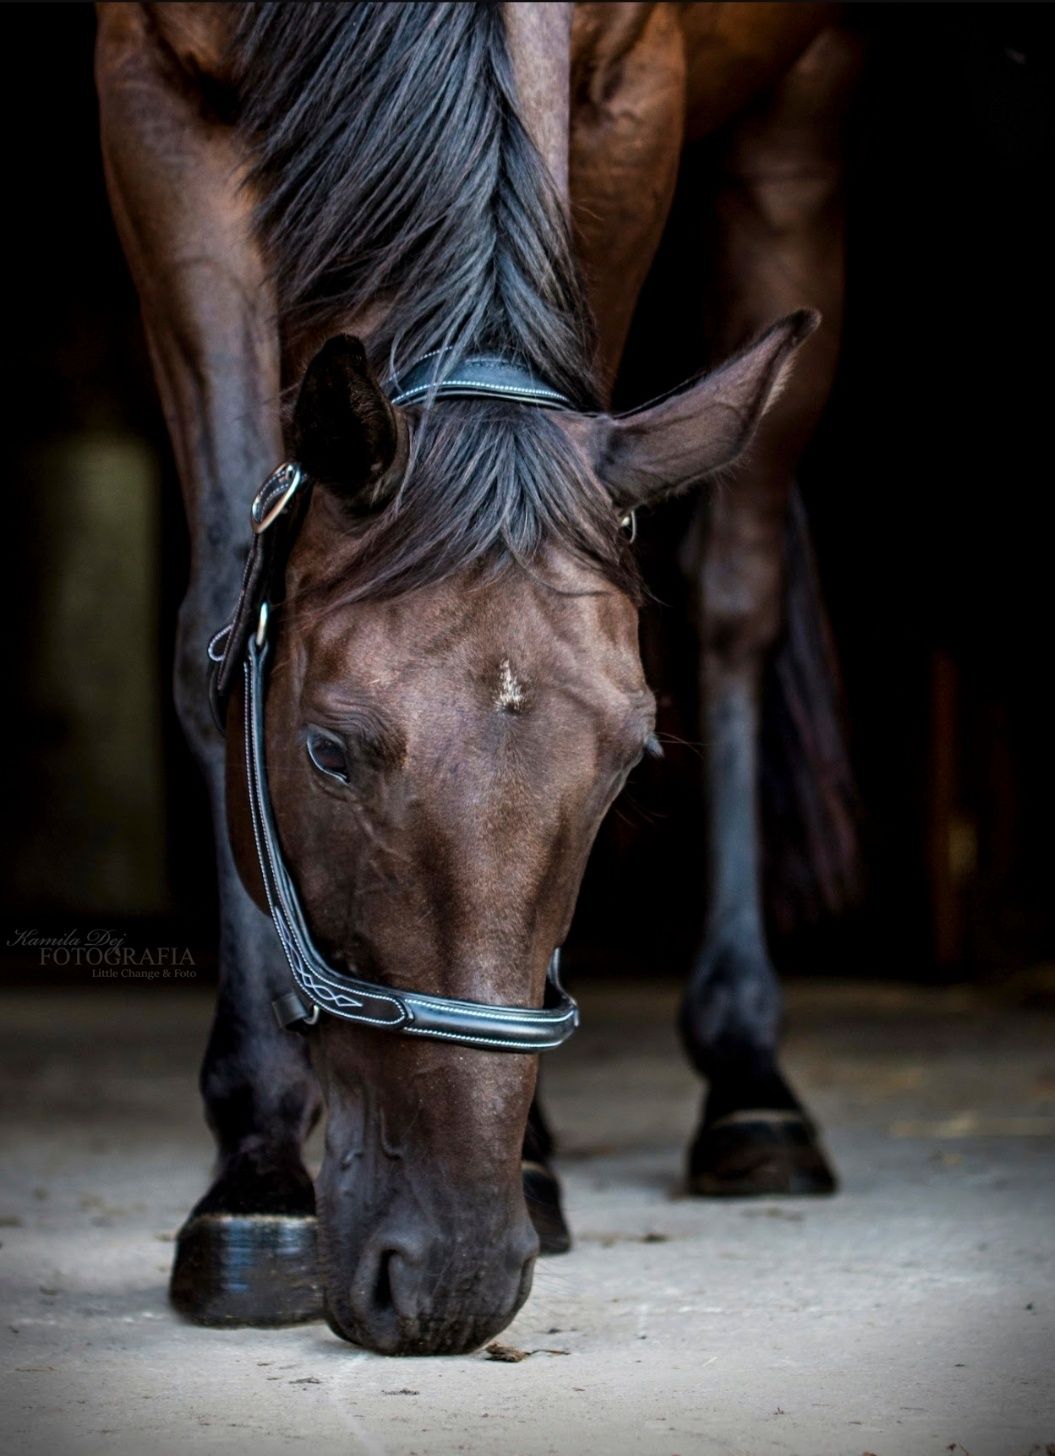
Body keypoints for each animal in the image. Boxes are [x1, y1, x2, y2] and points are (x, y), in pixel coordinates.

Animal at [94, 5, 861, 1356]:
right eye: (326, 750)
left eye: (627, 764)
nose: (447, 1278)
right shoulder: (154, 101)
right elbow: (216, 606)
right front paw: (254, 1170)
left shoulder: (631, 98)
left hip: (796, 124)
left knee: (736, 598)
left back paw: (744, 1086)